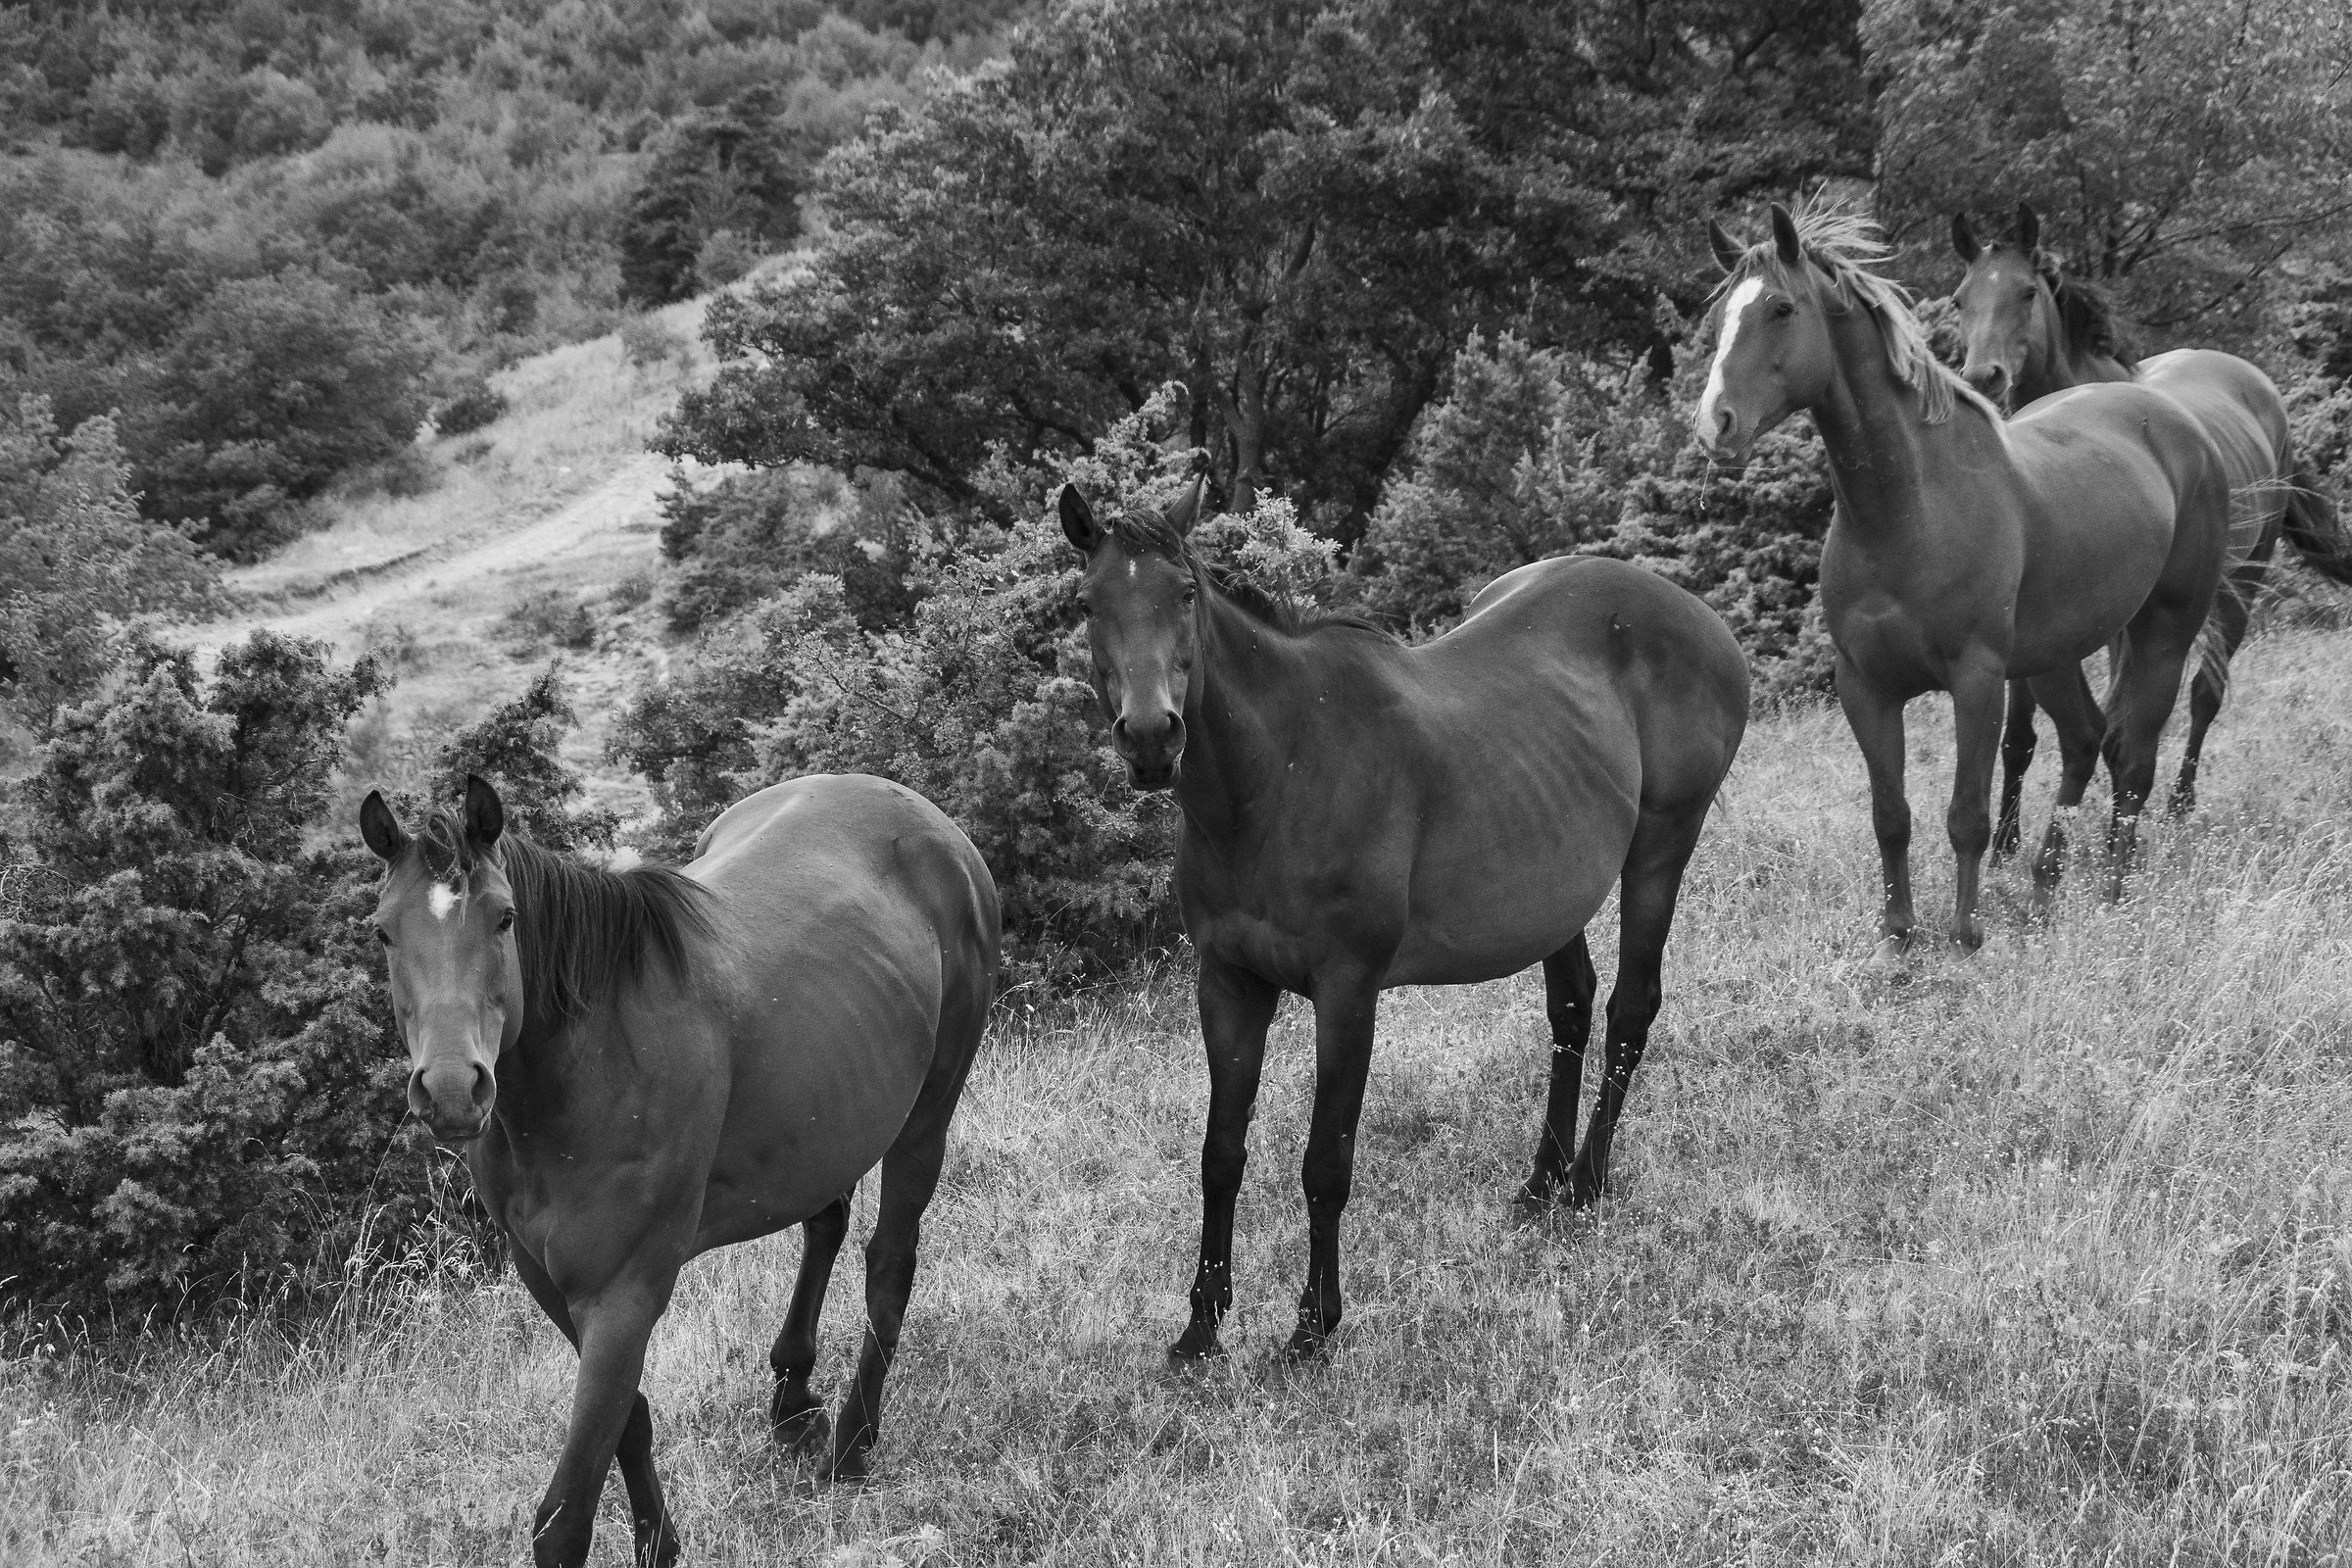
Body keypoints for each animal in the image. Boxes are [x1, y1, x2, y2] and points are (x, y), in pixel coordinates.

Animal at [360, 772, 998, 1568]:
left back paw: (852, 1446)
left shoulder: (624, 1292)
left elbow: (566, 1515)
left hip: (928, 1112)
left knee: (889, 1262)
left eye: (504, 918)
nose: (452, 1089)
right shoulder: (552, 1283)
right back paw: (794, 1401)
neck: (589, 1068)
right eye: (384, 931)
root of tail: (930, 821)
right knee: (826, 1222)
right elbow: (627, 1419)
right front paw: (658, 1543)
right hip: (825, 1118)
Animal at [1059, 477, 1747, 1363]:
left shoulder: (1349, 993)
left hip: (1661, 849)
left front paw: (1313, 1325)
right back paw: (1542, 1181)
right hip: (1556, 883)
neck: (1278, 773)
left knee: (1632, 1006)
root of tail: (1702, 618)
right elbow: (1220, 1153)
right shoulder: (1229, 985)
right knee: (1572, 1006)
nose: (1150, 736)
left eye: (1184, 593)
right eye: (1088, 603)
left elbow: (1326, 1162)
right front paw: (1201, 1327)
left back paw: (1588, 1182)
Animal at [1695, 202, 2234, 959]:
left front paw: (1964, 934)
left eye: (1780, 308)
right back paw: (2043, 893)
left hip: (2164, 630)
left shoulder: (1977, 679)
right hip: (2051, 656)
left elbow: (1967, 815)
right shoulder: (1865, 686)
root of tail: (2183, 427)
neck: (1909, 509)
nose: (1715, 424)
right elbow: (1890, 813)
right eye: (1718, 318)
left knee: (2133, 762)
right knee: (2086, 740)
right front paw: (1898, 934)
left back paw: (2113, 898)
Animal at [1952, 201, 2352, 837]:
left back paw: (2178, 806)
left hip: (2242, 578)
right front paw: (2007, 842)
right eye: (1960, 298)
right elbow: (2018, 734)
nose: (1982, 376)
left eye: (2025, 292)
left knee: (2205, 692)